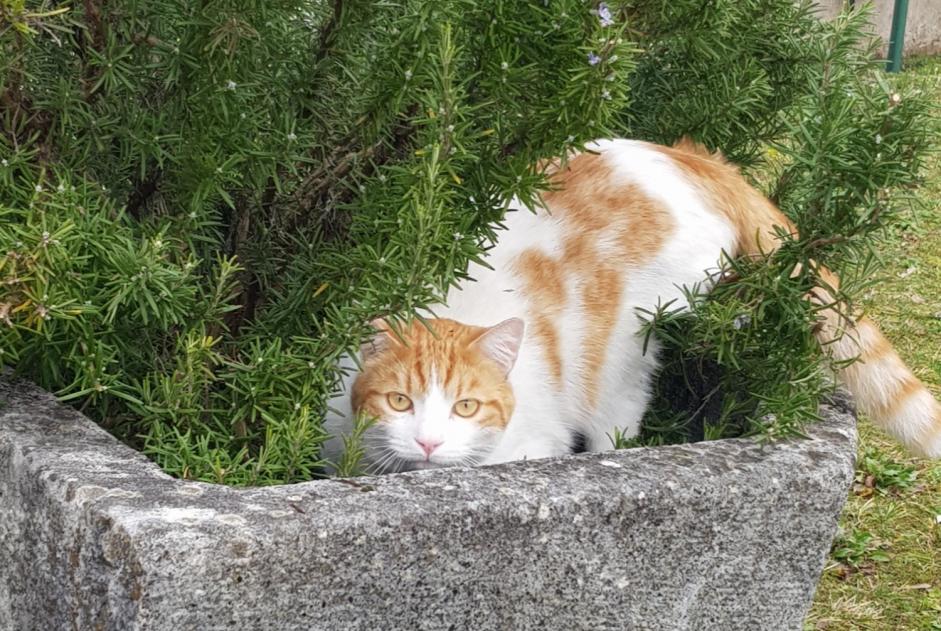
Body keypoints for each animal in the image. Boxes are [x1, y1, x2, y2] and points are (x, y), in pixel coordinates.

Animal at [320, 139, 936, 474]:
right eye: (400, 401)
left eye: (465, 407)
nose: (428, 441)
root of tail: (691, 159)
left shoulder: (534, 443)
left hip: (627, 355)